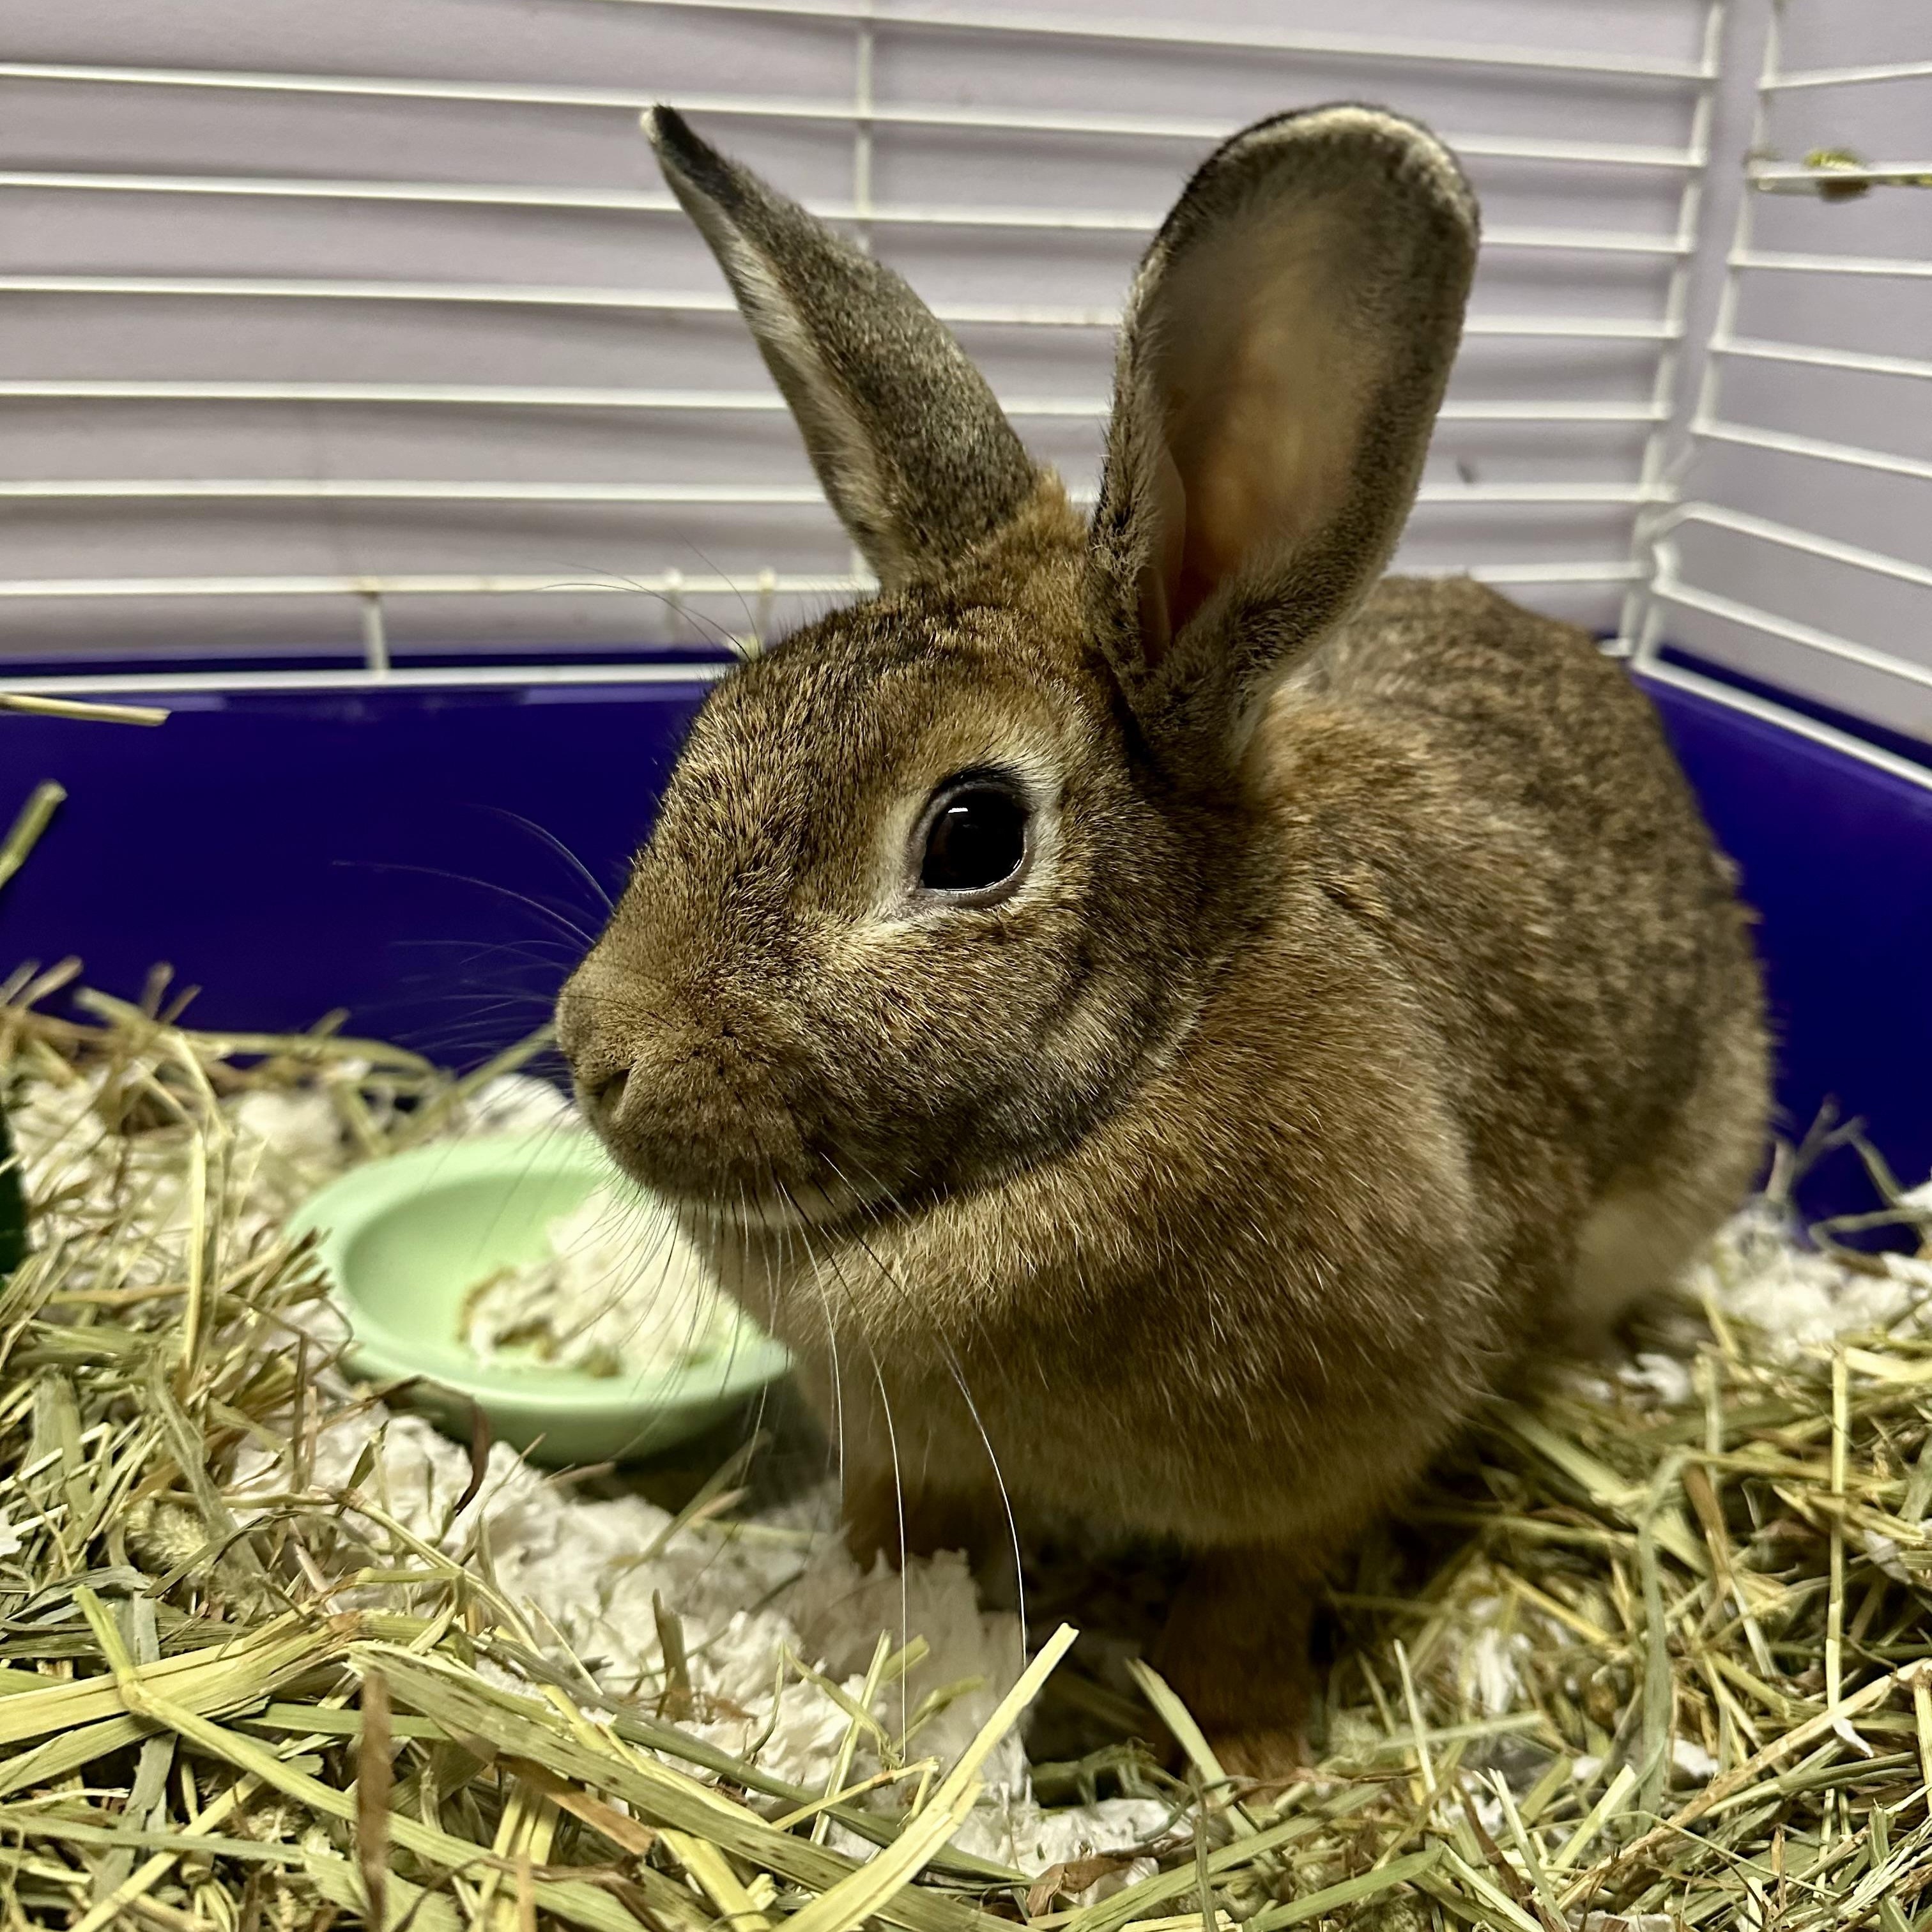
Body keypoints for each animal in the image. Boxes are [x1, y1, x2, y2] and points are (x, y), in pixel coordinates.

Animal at [556, 102, 1770, 1775]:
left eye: (972, 837)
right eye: (715, 725)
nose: (597, 1051)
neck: (1137, 1076)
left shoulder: (1332, 1467)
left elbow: (1251, 1603)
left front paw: (1247, 1759)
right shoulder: (893, 1447)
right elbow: (889, 1539)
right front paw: (835, 1647)